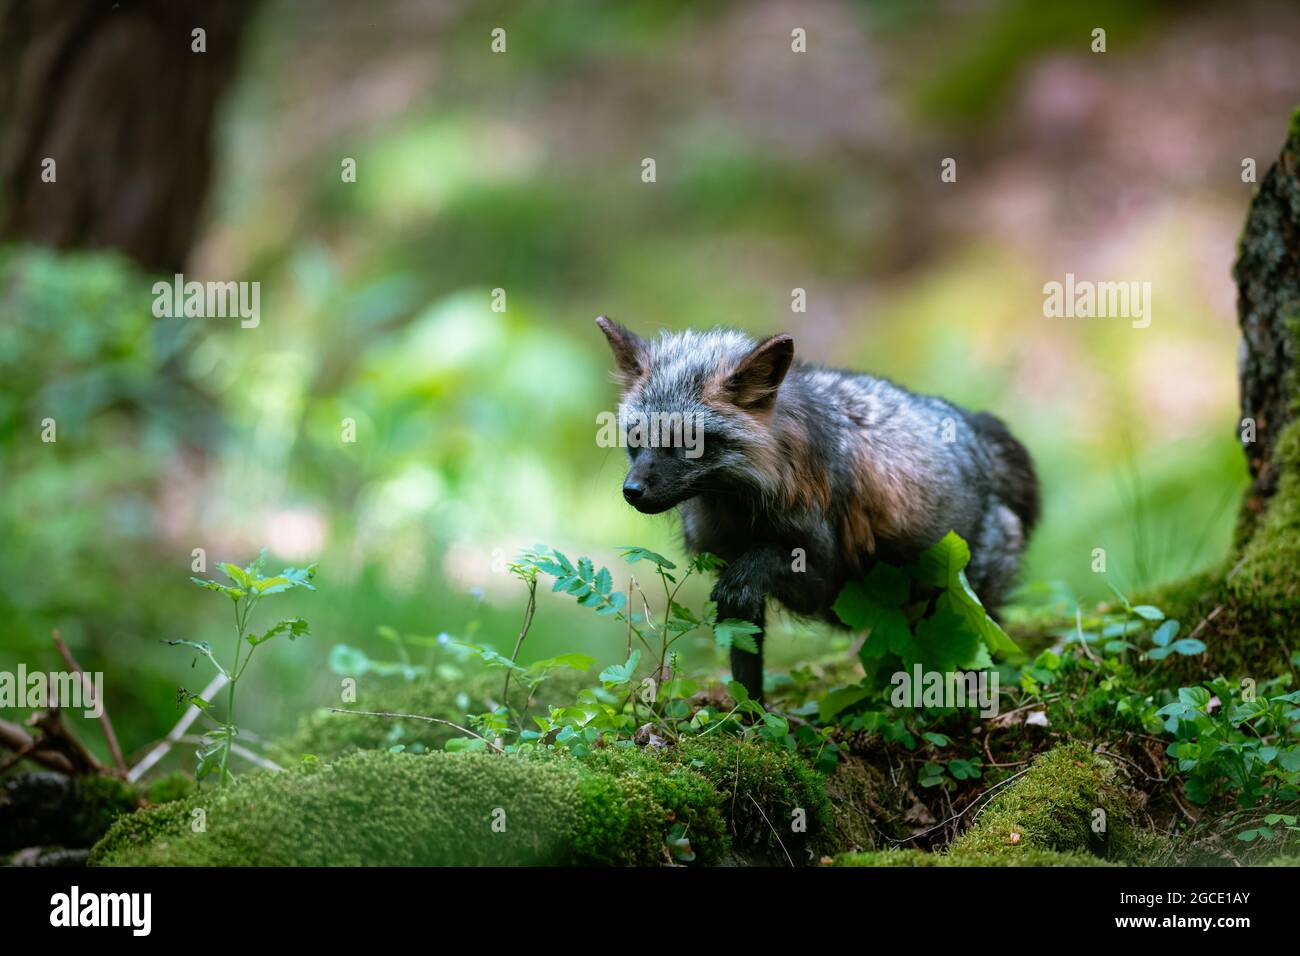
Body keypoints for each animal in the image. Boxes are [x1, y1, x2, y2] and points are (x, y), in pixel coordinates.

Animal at [596, 316, 1040, 700]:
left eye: (688, 442)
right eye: (636, 438)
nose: (631, 491)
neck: (742, 506)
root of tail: (980, 427)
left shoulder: (822, 577)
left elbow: (753, 573)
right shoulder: (730, 566)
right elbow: (744, 658)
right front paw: (749, 720)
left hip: (956, 595)